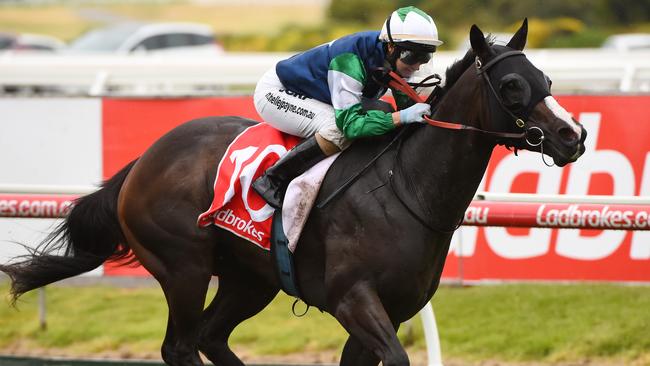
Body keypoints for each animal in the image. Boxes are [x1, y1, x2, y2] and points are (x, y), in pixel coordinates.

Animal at [2, 20, 584, 366]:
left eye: (547, 77)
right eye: (511, 85)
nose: (572, 135)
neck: (407, 189)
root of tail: (144, 160)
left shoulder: (391, 310)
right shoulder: (354, 299)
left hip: (248, 278)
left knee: (210, 338)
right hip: (183, 267)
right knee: (181, 346)